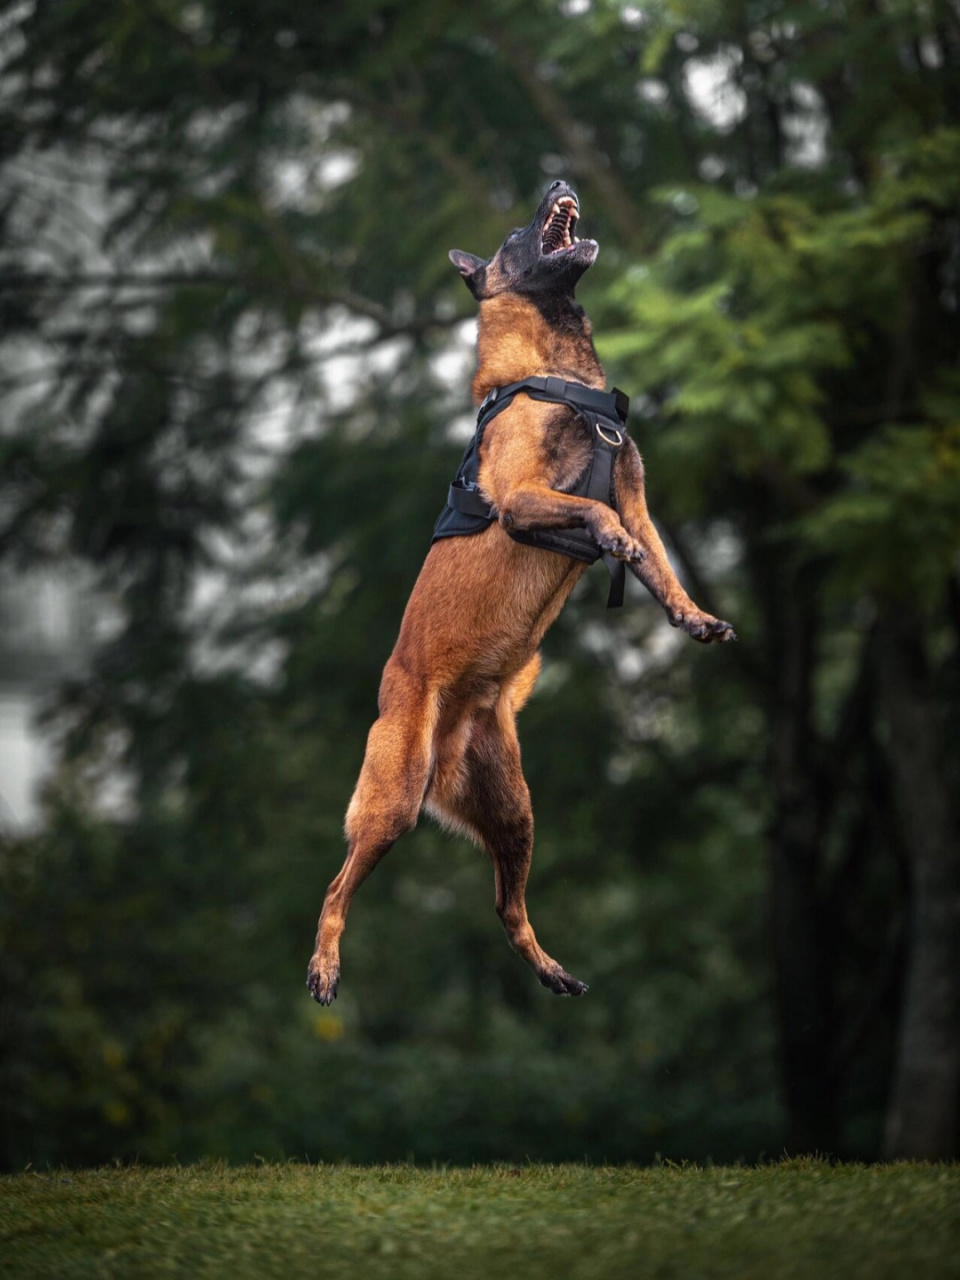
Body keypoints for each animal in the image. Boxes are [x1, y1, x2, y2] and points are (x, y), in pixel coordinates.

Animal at [308, 180, 737, 1003]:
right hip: (392, 799)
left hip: (514, 812)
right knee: (337, 885)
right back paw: (325, 962)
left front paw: (693, 616)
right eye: (514, 232)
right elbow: (601, 518)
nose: (559, 182)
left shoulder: (638, 497)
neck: (560, 373)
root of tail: (447, 738)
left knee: (507, 907)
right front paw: (610, 544)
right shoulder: (523, 500)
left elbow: (659, 563)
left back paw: (550, 968)